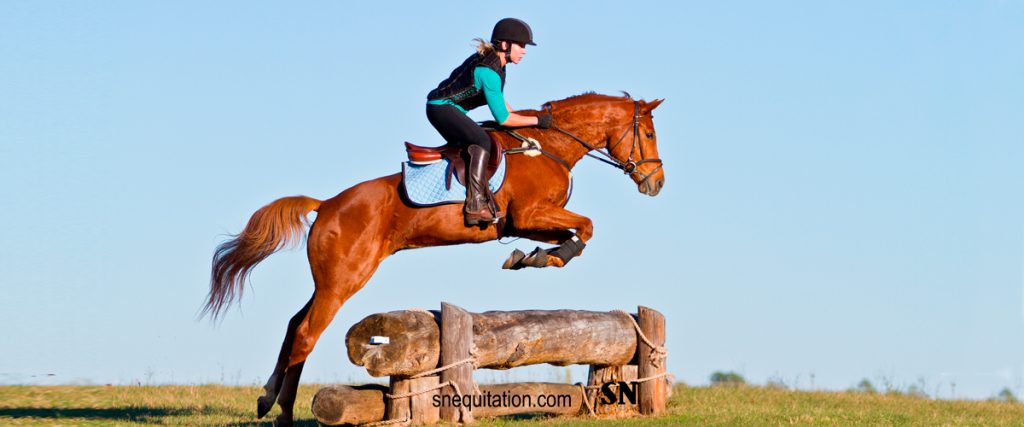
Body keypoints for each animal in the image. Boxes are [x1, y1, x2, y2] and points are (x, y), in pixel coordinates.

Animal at [205, 92, 665, 426]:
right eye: (648, 136)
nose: (656, 183)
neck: (548, 147)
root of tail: (327, 205)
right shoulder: (529, 214)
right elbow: (587, 226)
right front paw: (539, 259)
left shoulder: (528, 222)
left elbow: (575, 233)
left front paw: (531, 257)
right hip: (344, 278)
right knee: (304, 334)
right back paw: (282, 414)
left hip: (333, 279)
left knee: (293, 324)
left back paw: (266, 400)